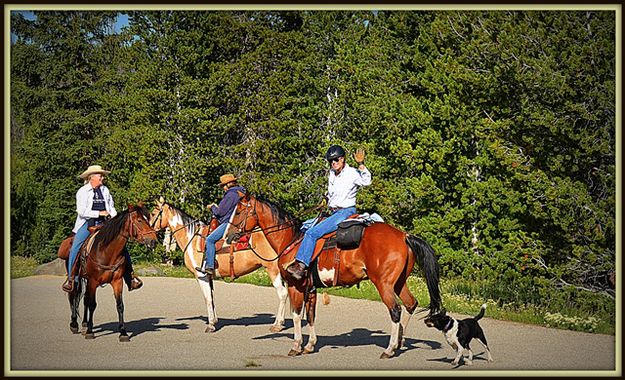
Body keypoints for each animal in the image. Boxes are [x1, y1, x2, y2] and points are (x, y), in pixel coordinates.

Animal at [64, 205, 157, 342]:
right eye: (139, 220)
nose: (153, 241)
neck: (106, 251)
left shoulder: (117, 281)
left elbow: (120, 305)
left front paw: (123, 333)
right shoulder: (93, 281)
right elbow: (92, 304)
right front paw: (90, 332)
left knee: (84, 299)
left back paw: (85, 324)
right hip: (76, 278)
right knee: (74, 295)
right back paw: (75, 324)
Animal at [149, 197, 290, 334]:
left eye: (153, 213)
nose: (149, 230)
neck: (191, 238)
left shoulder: (201, 276)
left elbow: (207, 298)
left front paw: (211, 325)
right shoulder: (209, 276)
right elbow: (212, 298)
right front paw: (215, 320)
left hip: (272, 269)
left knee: (282, 293)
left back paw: (277, 325)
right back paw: (281, 322)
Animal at [227, 193, 442, 360]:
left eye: (238, 212)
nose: (228, 236)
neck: (291, 240)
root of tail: (404, 236)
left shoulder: (296, 285)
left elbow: (296, 315)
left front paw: (296, 346)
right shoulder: (311, 288)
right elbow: (311, 316)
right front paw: (309, 345)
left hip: (384, 284)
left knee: (395, 310)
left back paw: (389, 349)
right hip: (399, 282)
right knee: (411, 304)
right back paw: (399, 342)